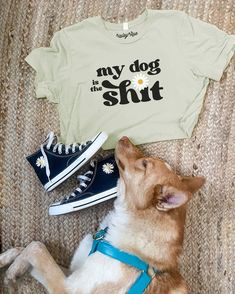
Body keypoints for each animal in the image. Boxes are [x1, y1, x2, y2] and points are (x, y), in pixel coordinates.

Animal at [0, 138, 204, 294]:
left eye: (145, 164)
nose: (124, 137)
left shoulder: (67, 288)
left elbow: (36, 246)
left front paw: (12, 270)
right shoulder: (71, 273)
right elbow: (27, 248)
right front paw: (10, 260)